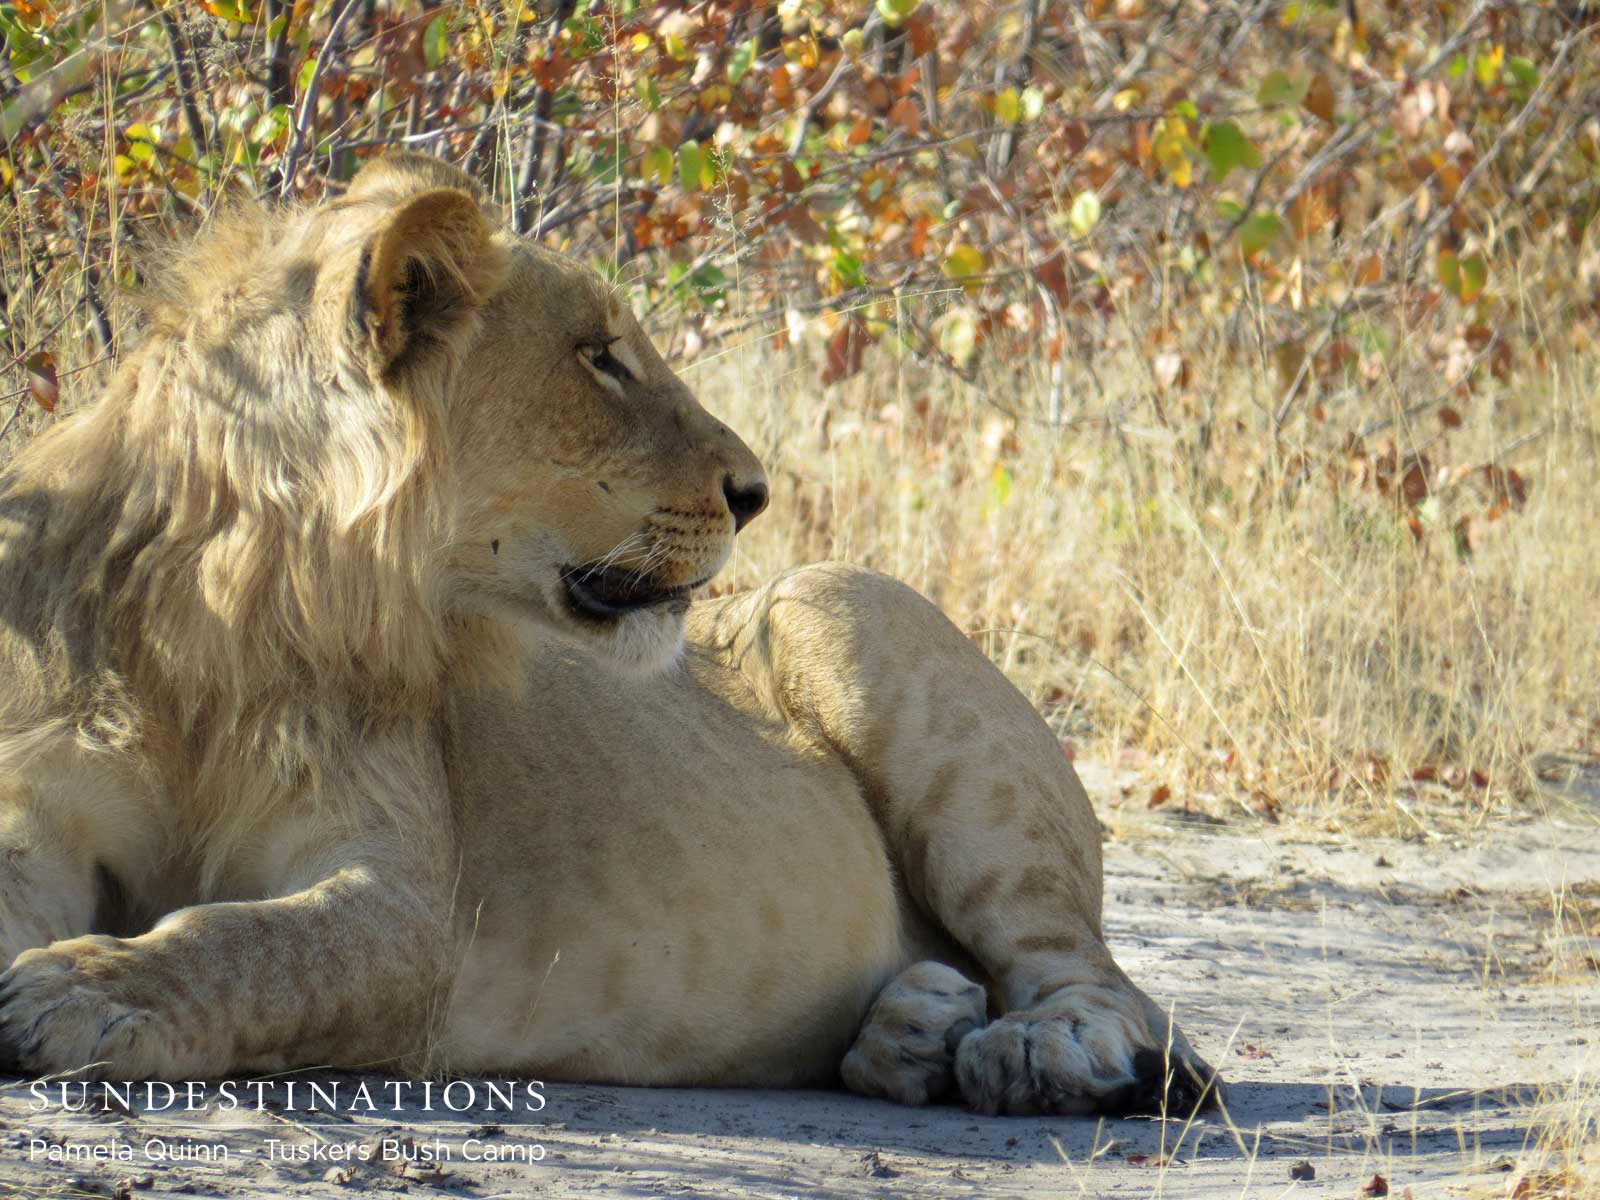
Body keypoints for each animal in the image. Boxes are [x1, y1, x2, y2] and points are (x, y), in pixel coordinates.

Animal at [0, 153, 1218, 1117]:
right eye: (599, 356)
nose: (757, 493)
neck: (229, 608)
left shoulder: (405, 907)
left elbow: (248, 941)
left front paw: (83, 994)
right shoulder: (38, 816)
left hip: (847, 606)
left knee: (1107, 986)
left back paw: (1040, 1052)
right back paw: (916, 1030)